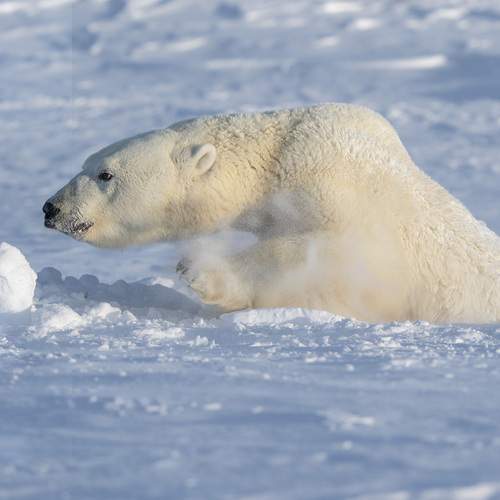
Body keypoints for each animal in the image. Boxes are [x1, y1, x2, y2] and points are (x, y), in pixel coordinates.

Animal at [43, 103, 500, 323]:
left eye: (105, 174)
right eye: (86, 163)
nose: (52, 207)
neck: (280, 158)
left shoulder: (352, 208)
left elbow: (324, 258)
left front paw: (201, 272)